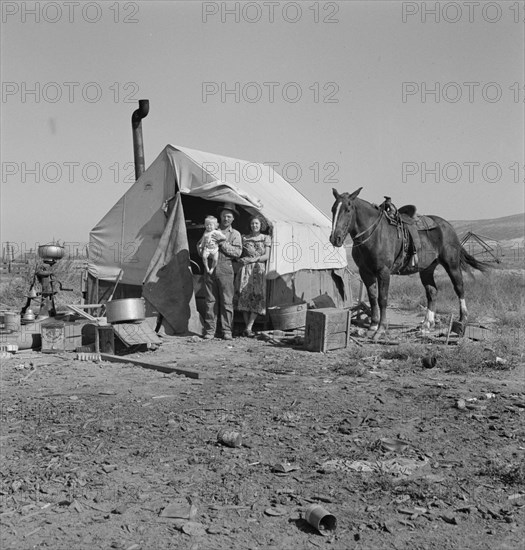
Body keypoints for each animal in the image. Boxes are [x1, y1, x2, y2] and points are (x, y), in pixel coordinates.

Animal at [330, 189, 490, 340]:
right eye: (333, 209)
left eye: (348, 209)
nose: (335, 238)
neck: (373, 234)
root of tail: (448, 226)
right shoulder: (365, 272)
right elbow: (372, 298)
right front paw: (372, 327)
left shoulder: (384, 272)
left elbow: (382, 299)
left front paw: (381, 330)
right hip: (426, 269)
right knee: (432, 292)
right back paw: (427, 324)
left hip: (451, 265)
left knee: (459, 288)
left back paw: (462, 320)